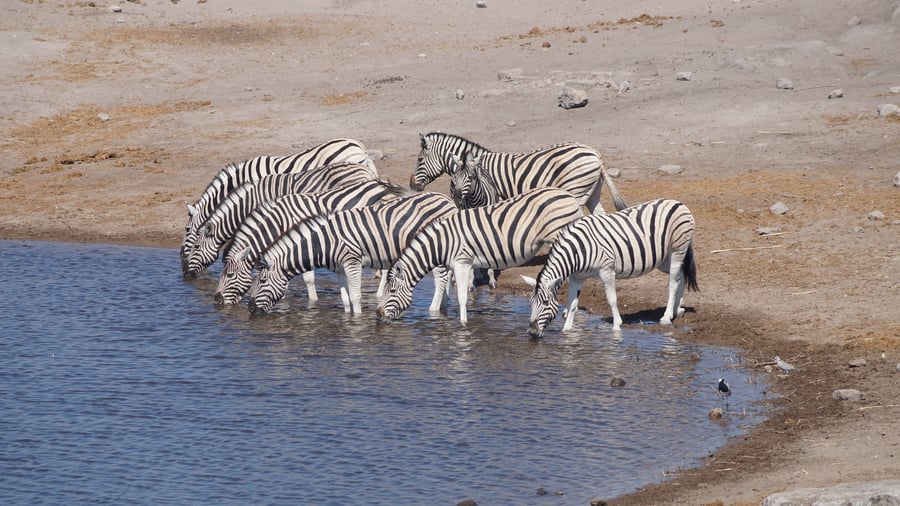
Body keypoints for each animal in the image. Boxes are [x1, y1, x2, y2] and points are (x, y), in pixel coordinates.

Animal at [213, 179, 409, 305]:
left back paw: (378, 294)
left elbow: (307, 277)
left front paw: (313, 301)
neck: (280, 221)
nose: (217, 300)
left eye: (229, 275)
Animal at [247, 192, 457, 315]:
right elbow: (345, 299)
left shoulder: (352, 262)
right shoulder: (340, 268)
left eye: (262, 281)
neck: (325, 242)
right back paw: (444, 306)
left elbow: (355, 296)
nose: (249, 308)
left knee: (440, 280)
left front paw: (356, 322)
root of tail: (447, 199)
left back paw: (433, 310)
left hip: (433, 248)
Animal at [375, 187, 584, 324]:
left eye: (391, 291)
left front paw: (463, 324)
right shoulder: (455, 265)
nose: (377, 314)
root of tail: (569, 196)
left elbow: (461, 296)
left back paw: (567, 311)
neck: (442, 242)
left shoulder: (462, 262)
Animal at [522, 198, 698, 336]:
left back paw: (666, 317)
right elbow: (572, 304)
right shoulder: (576, 277)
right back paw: (677, 310)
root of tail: (678, 203)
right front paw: (567, 330)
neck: (578, 251)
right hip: (664, 259)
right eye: (530, 302)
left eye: (545, 302)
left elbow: (612, 300)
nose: (532, 332)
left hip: (677, 250)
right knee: (681, 277)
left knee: (673, 282)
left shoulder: (606, 271)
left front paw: (616, 326)